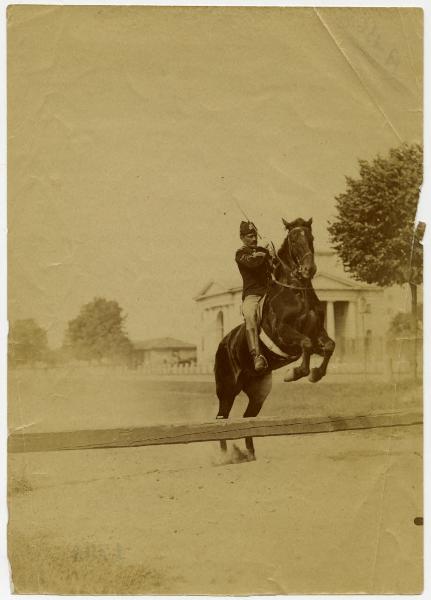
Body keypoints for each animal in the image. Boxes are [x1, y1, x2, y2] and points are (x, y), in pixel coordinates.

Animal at [214, 217, 336, 460]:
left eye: (311, 237)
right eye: (293, 239)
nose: (309, 269)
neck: (297, 292)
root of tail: (222, 345)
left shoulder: (318, 333)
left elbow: (328, 346)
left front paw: (315, 374)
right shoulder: (283, 334)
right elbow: (306, 344)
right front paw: (295, 373)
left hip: (258, 393)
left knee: (247, 418)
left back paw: (250, 453)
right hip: (227, 389)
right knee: (221, 418)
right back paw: (224, 456)